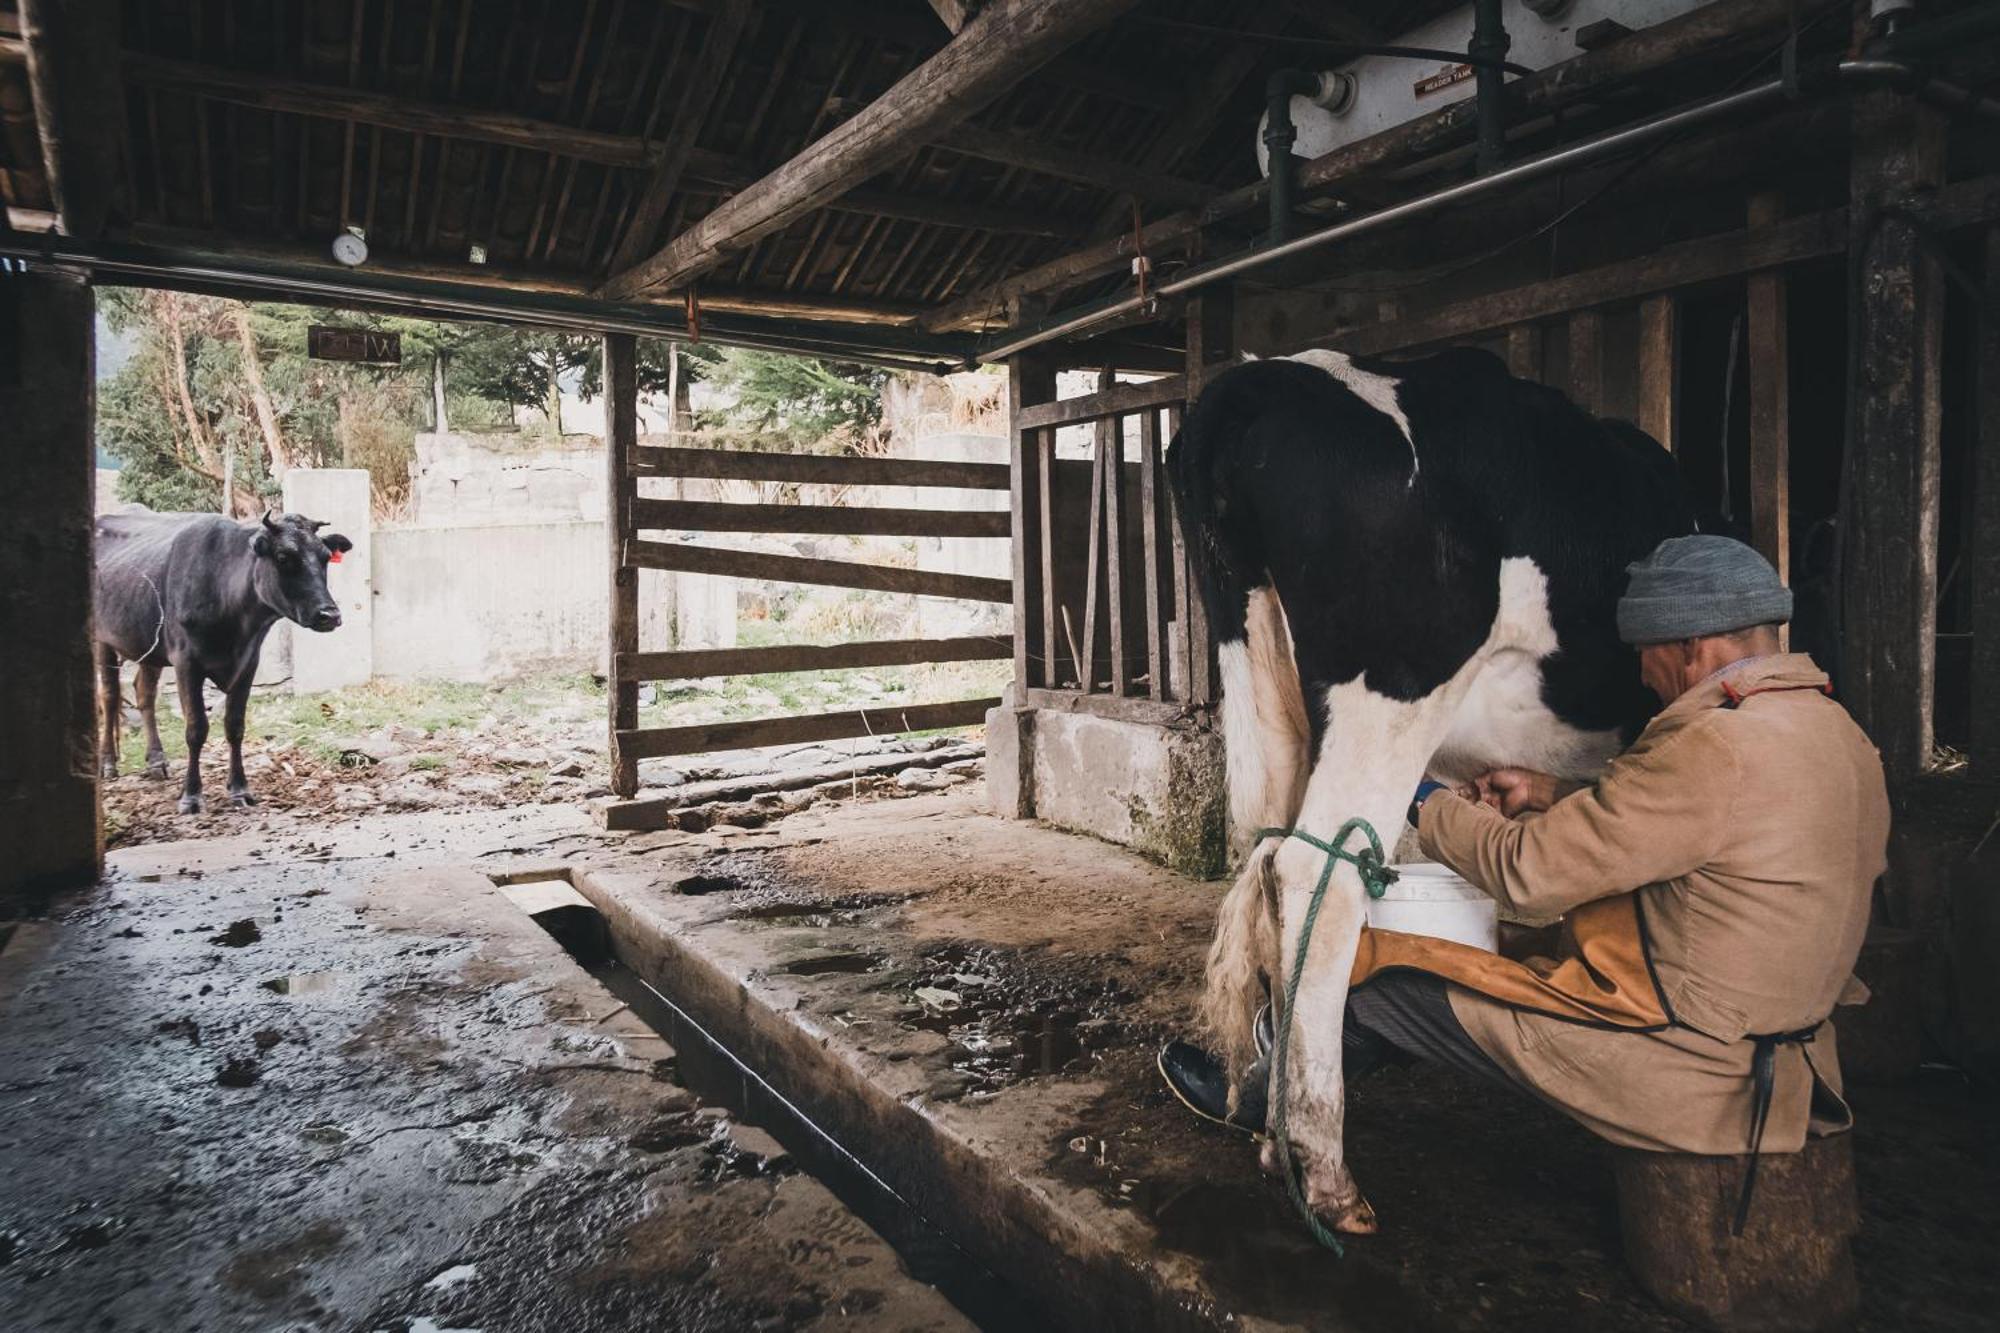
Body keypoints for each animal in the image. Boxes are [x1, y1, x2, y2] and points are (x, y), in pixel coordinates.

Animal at [95, 508, 356, 808]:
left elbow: (235, 726)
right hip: (102, 638)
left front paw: (240, 789)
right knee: (110, 696)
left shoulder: (248, 664)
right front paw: (191, 795)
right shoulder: (186, 663)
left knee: (144, 693)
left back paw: (157, 762)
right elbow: (196, 729)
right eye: (283, 557)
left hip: (148, 646)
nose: (329, 615)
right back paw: (107, 763)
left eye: (325, 557)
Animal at [1168, 340, 1696, 1224]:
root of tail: (1271, 375)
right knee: (1317, 877)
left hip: (1264, 674)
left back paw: (1276, 1139)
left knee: (1271, 860)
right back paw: (1326, 1171)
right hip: (1394, 691)